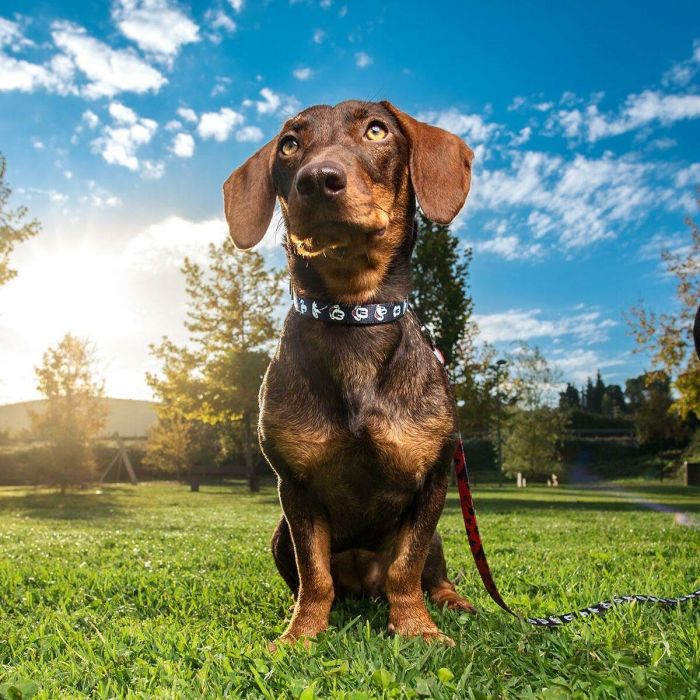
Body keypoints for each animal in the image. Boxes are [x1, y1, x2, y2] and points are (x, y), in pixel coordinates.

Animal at [224, 98, 476, 644]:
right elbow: (314, 574)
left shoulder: (433, 483)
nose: (318, 180)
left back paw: (452, 602)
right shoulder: (294, 489)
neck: (352, 312)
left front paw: (417, 628)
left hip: (441, 537)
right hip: (278, 534)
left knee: (434, 574)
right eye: (289, 144)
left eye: (377, 131)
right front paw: (300, 634)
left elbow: (406, 567)